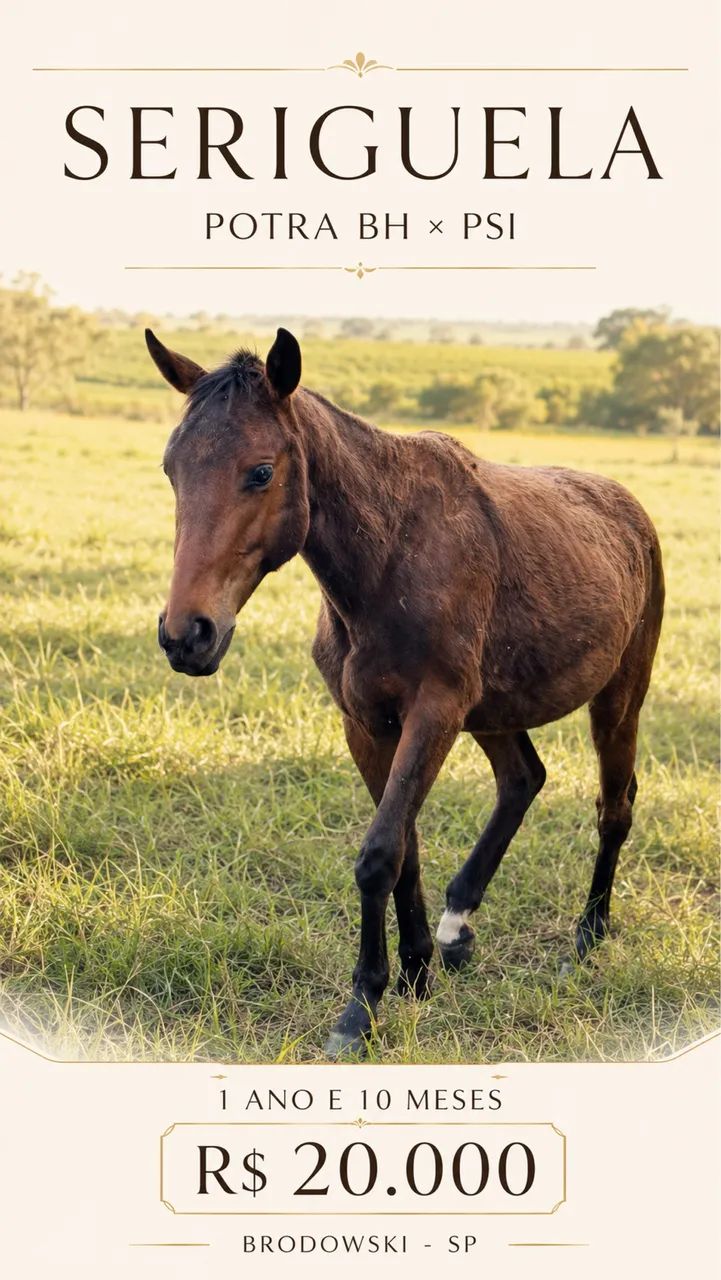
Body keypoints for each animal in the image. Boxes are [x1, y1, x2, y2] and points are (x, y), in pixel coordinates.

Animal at [146, 326, 664, 1057]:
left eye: (260, 472)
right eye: (172, 469)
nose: (186, 635)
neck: (390, 555)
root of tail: (630, 512)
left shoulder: (433, 713)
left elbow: (378, 854)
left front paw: (361, 1006)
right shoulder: (367, 723)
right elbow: (405, 847)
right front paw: (416, 969)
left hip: (617, 700)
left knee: (613, 807)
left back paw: (586, 936)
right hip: (492, 711)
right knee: (522, 780)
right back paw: (457, 926)